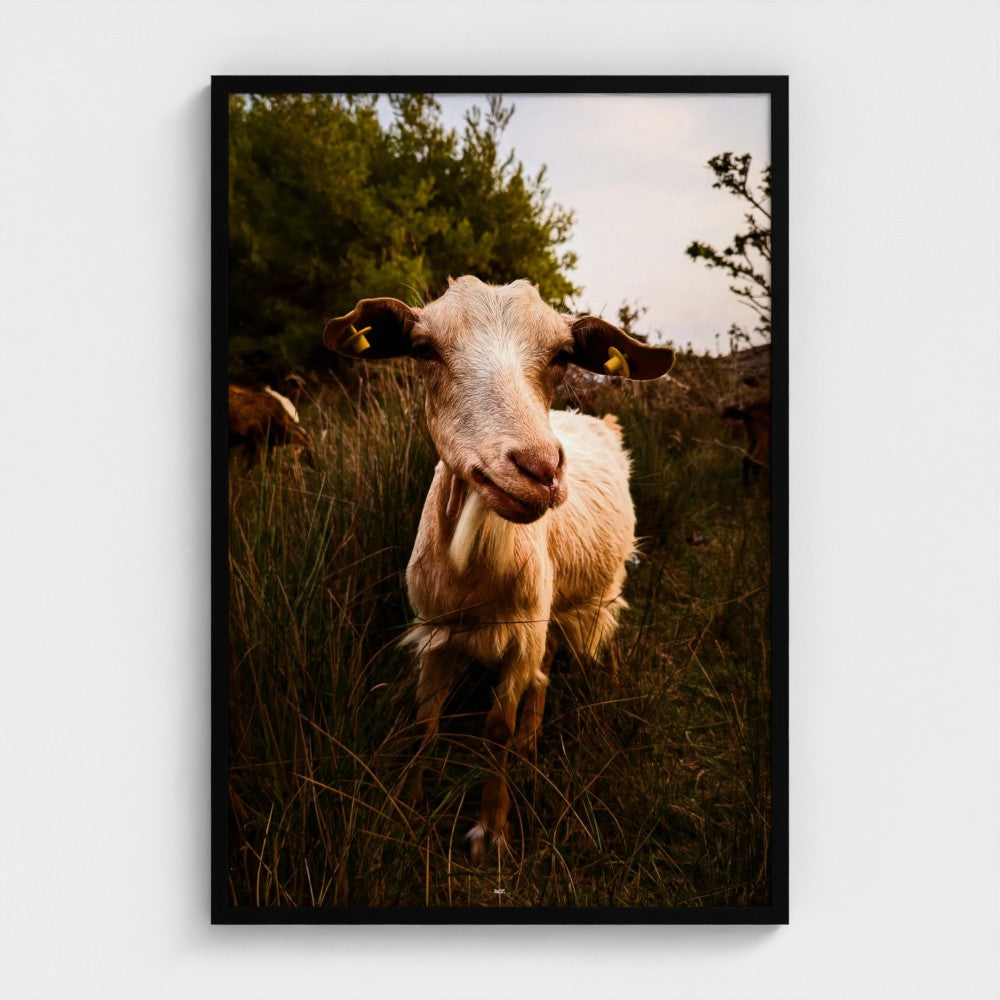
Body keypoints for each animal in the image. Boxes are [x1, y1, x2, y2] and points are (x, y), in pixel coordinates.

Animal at [323, 276, 674, 860]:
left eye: (561, 356)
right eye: (424, 349)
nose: (539, 469)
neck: (475, 579)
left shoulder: (521, 632)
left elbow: (497, 728)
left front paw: (490, 829)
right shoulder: (436, 631)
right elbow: (423, 724)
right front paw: (406, 807)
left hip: (582, 598)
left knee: (565, 656)